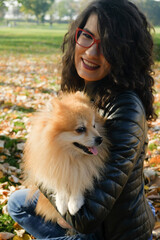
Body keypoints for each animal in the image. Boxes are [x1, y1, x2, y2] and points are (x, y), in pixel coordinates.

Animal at [22, 91, 109, 222]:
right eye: (81, 129)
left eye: (94, 125)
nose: (100, 139)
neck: (70, 156)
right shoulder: (51, 167)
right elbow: (60, 183)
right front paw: (62, 202)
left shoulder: (84, 169)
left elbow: (80, 179)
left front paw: (74, 203)